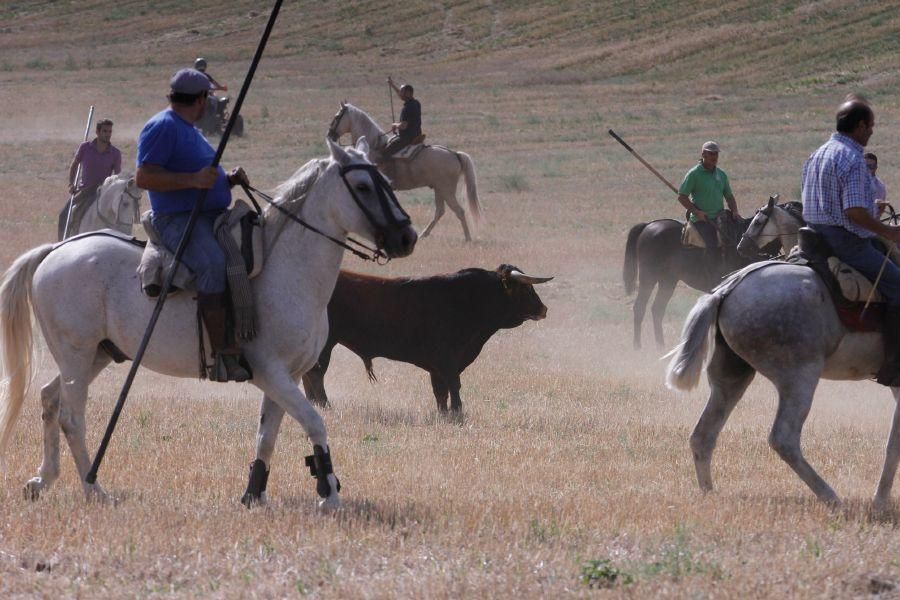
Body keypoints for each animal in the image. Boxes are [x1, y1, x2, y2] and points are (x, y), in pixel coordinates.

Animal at [0, 138, 414, 508]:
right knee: (71, 416)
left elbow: (267, 436)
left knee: (49, 398)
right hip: (76, 354)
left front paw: (254, 495)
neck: (285, 268)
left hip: (96, 356)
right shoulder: (272, 373)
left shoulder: (288, 377)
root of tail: (55, 250)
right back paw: (94, 490)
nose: (406, 236)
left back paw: (42, 480)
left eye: (386, 182)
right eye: (362, 187)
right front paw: (329, 495)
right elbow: (315, 423)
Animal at [302, 264, 552, 412]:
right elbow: (453, 384)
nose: (544, 309)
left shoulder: (437, 365)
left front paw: (445, 414)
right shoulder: (447, 358)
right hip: (325, 345)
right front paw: (458, 413)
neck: (472, 298)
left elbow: (440, 391)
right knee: (316, 374)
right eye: (526, 289)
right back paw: (324, 406)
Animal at [326, 102, 482, 240]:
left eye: (337, 117)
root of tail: (454, 154)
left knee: (459, 211)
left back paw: (468, 238)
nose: (330, 135)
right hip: (439, 189)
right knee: (440, 211)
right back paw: (424, 234)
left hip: (446, 190)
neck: (373, 148)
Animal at [660, 260, 900, 508]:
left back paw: (708, 492)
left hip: (731, 378)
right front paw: (881, 500)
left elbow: (894, 444)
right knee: (784, 439)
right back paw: (831, 498)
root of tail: (725, 291)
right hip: (800, 378)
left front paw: (881, 500)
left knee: (703, 435)